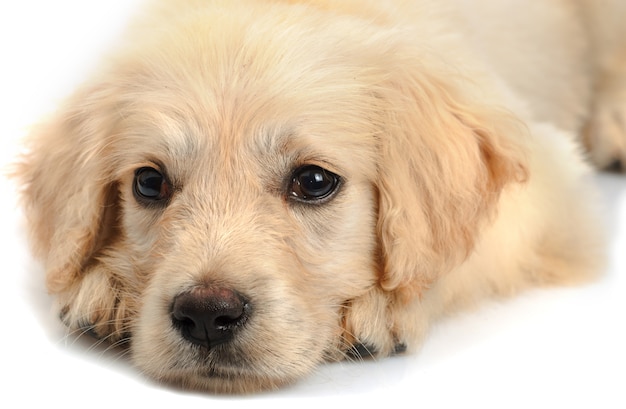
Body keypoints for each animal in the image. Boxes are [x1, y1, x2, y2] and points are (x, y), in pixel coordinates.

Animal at [14, 0, 620, 392]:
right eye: (149, 182)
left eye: (312, 182)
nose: (206, 316)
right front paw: (106, 292)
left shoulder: (550, 185)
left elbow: (462, 254)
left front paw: (387, 308)